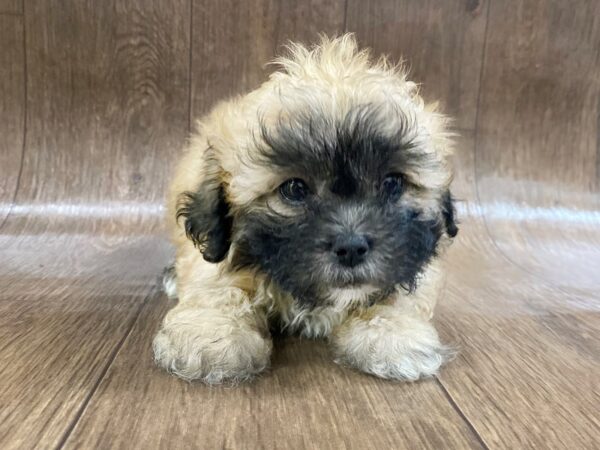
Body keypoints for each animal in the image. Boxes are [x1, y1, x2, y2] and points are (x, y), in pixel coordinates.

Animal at [152, 34, 458, 384]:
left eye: (393, 182)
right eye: (294, 189)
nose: (351, 247)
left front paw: (393, 334)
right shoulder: (215, 257)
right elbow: (216, 286)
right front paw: (211, 336)